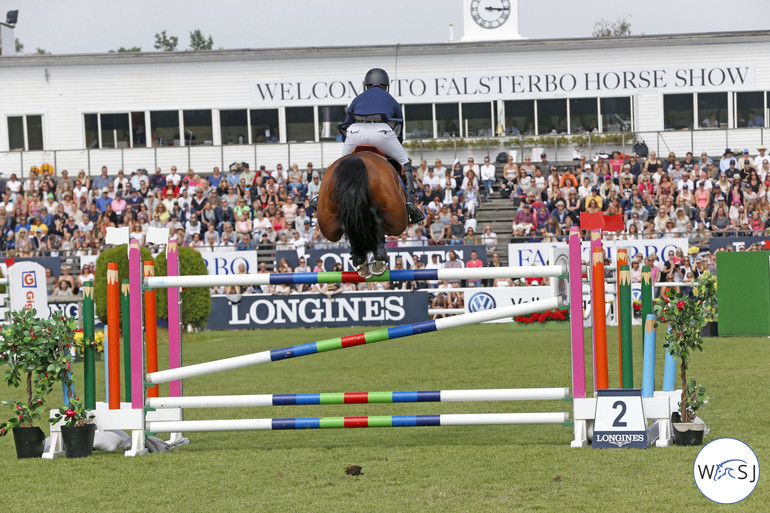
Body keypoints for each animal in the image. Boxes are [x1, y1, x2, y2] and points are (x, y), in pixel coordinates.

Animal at [316, 146, 408, 278]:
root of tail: (356, 160)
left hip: (326, 223)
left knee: (340, 227)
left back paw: (360, 258)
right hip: (399, 219)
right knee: (382, 222)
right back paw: (379, 257)